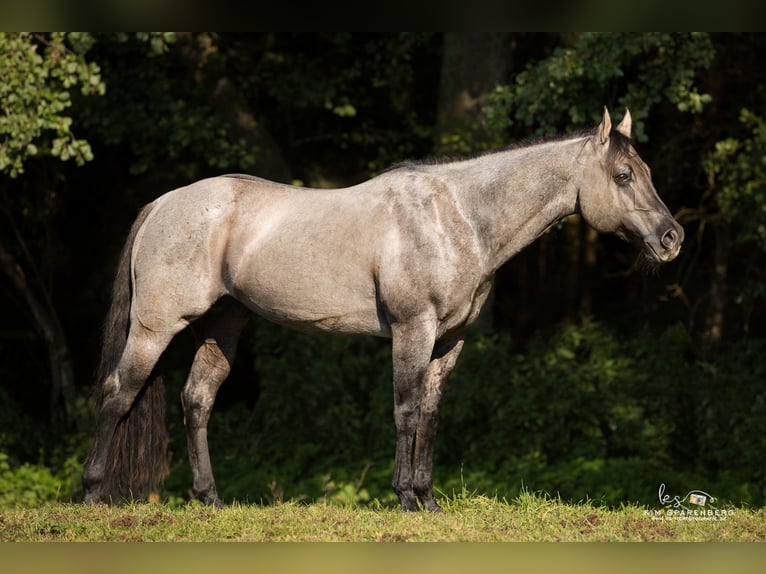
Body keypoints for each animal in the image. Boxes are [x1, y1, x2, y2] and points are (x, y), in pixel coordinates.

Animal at [83, 107, 683, 512]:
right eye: (624, 175)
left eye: (649, 172)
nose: (672, 238)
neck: (458, 216)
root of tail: (164, 202)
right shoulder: (412, 330)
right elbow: (406, 410)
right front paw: (405, 499)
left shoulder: (450, 340)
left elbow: (432, 415)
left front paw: (429, 499)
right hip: (155, 328)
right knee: (118, 394)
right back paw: (92, 493)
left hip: (222, 327)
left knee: (197, 401)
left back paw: (209, 499)